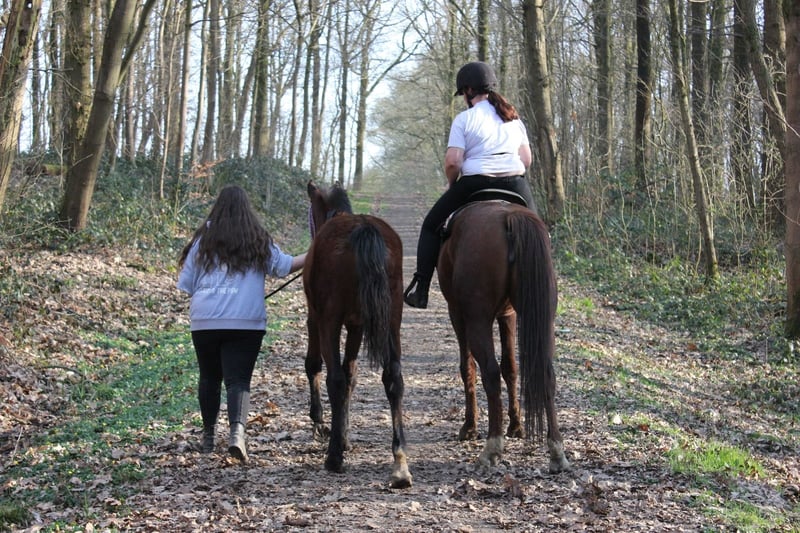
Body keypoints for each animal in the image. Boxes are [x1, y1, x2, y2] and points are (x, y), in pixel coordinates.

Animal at [302, 180, 412, 488]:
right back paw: (400, 462)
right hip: (392, 319)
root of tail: (362, 228)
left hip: (329, 320)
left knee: (335, 379)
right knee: (393, 377)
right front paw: (344, 434)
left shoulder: (317, 318)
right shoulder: (357, 326)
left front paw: (323, 426)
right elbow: (352, 375)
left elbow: (317, 367)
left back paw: (333, 458)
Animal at [436, 196, 570, 473]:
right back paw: (556, 450)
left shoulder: (458, 314)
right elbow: (512, 368)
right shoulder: (509, 315)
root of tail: (509, 218)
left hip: (476, 320)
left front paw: (469, 427)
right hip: (543, 319)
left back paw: (491, 447)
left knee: (489, 372)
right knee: (546, 373)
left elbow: (468, 368)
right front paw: (516, 426)